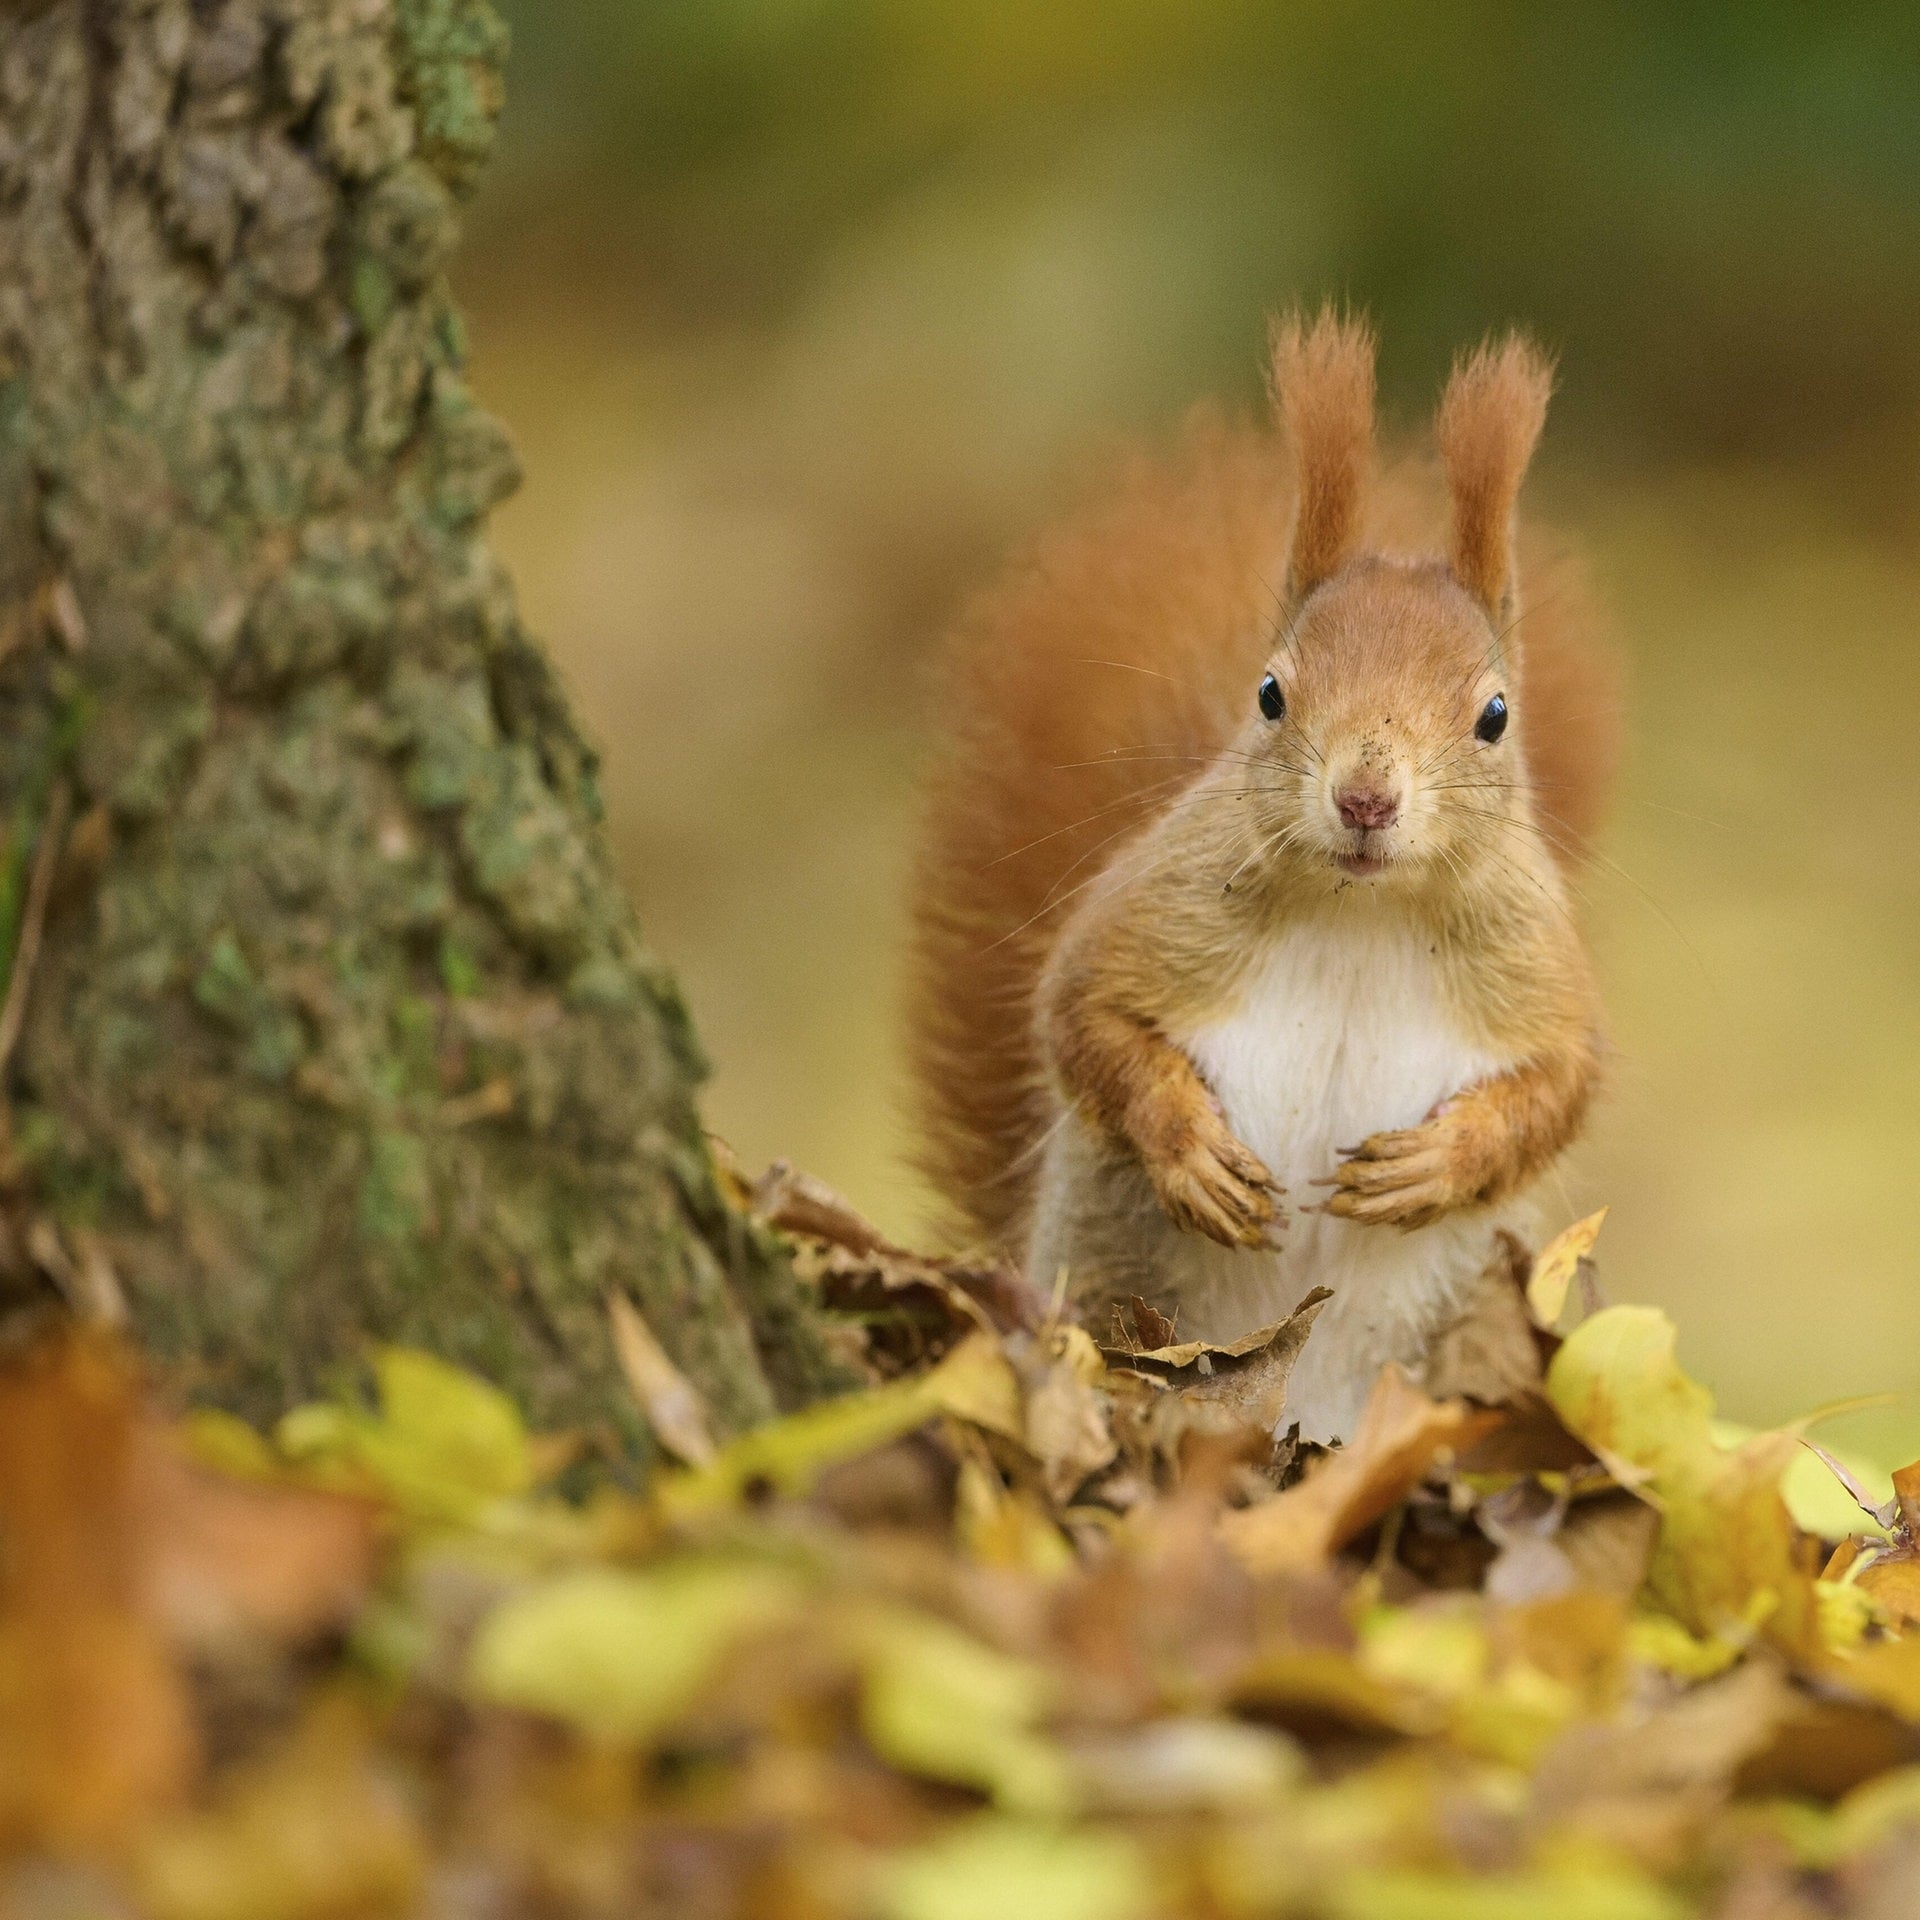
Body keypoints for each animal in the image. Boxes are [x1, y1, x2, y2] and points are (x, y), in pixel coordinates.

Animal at [907, 309, 1620, 1442]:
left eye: (1496, 715)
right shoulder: (1152, 912)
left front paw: (1435, 1165)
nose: (1365, 800)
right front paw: (1191, 1152)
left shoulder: (1533, 959)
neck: (1362, 915)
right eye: (1271, 692)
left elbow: (1563, 1085)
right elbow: (1078, 1017)